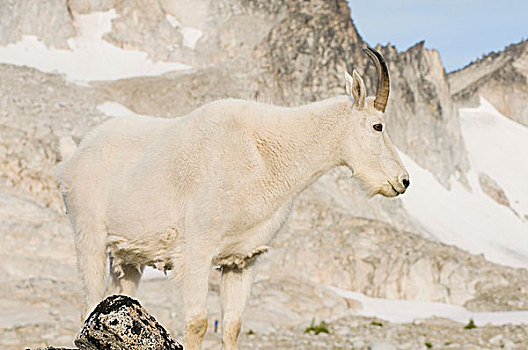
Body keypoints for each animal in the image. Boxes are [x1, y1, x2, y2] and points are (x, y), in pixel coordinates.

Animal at [56, 47, 408, 350]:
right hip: (89, 237)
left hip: (128, 258)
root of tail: (72, 158)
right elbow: (197, 323)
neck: (264, 155)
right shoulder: (195, 252)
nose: (403, 181)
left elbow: (232, 326)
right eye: (377, 126)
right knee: (90, 302)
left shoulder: (242, 260)